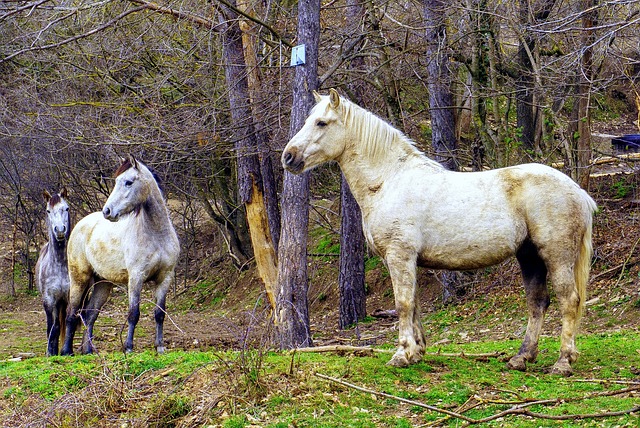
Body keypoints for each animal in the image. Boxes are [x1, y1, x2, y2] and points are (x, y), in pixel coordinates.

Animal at [61, 155, 179, 356]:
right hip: (79, 279)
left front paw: (160, 347)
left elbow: (159, 314)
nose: (107, 211)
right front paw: (129, 348)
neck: (157, 234)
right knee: (72, 313)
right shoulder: (136, 277)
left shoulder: (165, 278)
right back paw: (67, 351)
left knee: (90, 314)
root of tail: (81, 224)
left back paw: (89, 350)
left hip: (103, 284)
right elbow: (134, 314)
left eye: (128, 182)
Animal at [282, 89, 596, 374]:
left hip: (556, 255)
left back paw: (563, 362)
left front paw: (402, 354)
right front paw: (417, 352)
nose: (288, 157)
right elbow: (414, 304)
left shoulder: (399, 255)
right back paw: (522, 357)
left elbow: (403, 304)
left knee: (568, 300)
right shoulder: (407, 260)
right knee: (538, 302)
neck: (389, 181)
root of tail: (579, 192)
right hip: (529, 256)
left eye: (322, 123)